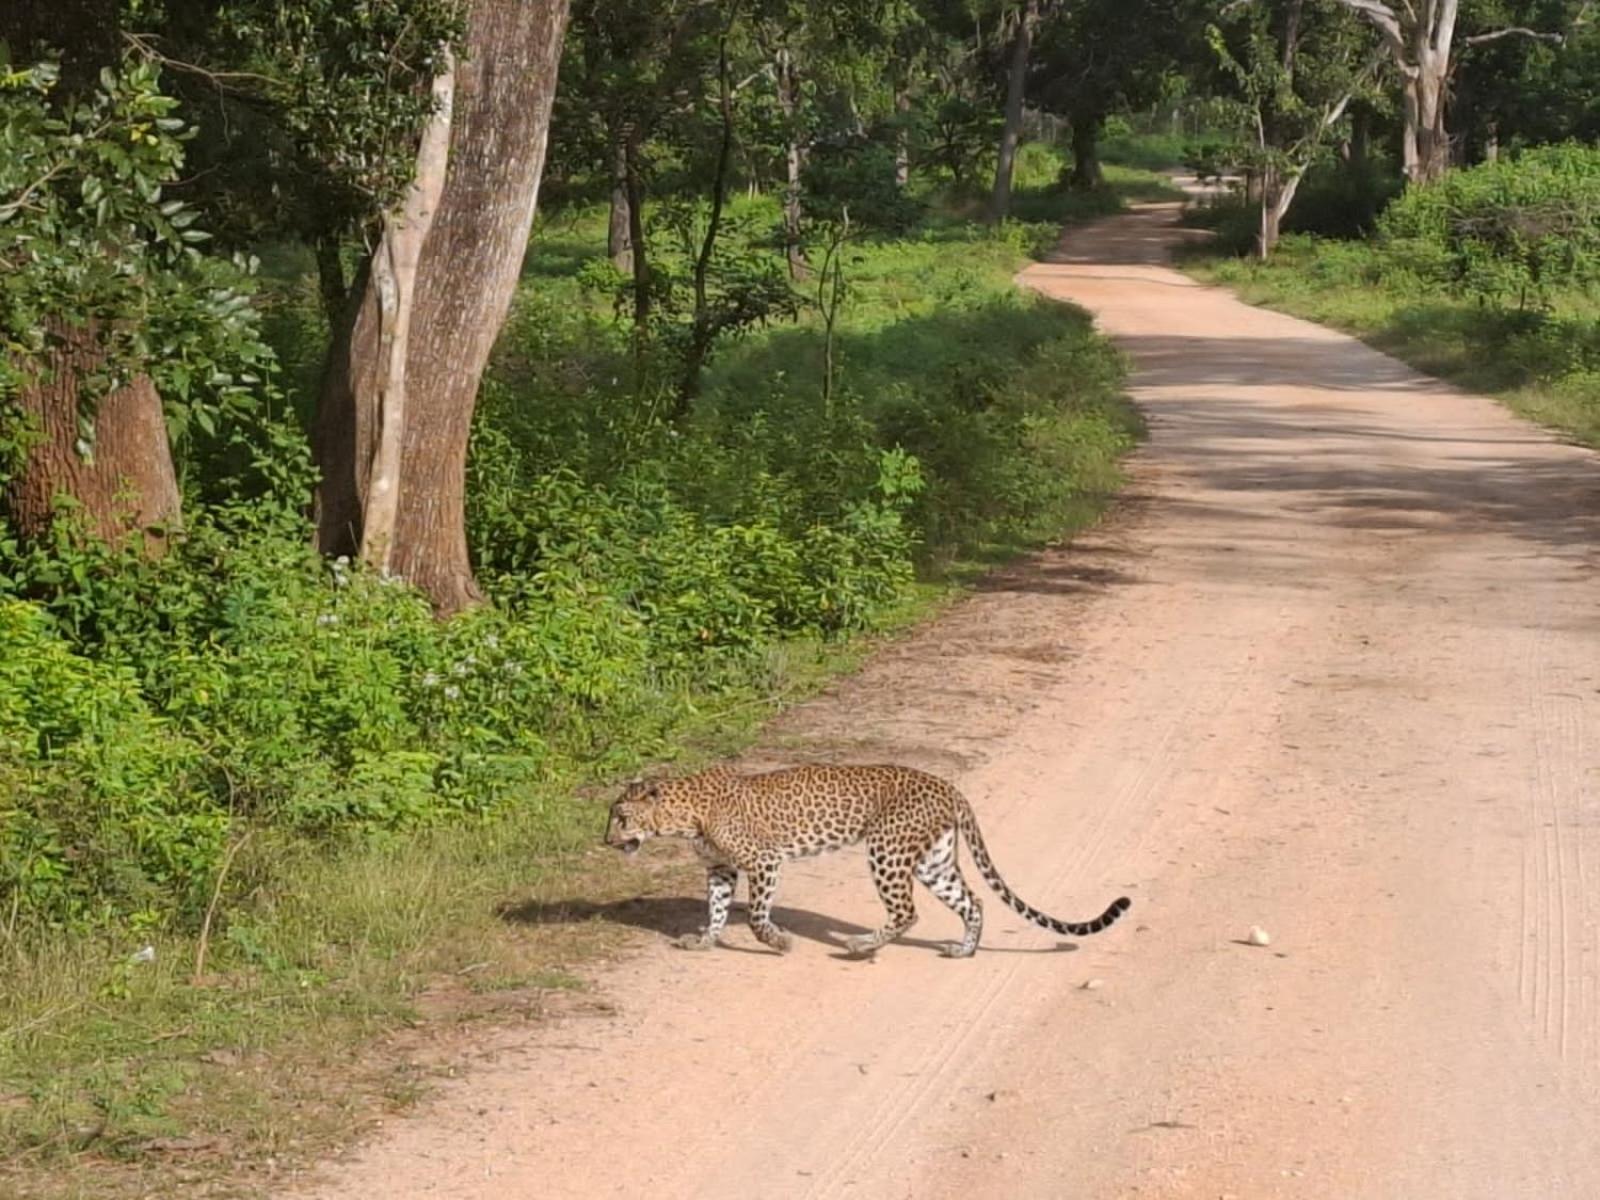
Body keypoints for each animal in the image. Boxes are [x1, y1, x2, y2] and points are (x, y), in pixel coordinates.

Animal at [604, 771, 1132, 960]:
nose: (606, 840)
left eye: (621, 817)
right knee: (974, 902)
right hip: (934, 861)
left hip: (886, 850)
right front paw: (704, 941)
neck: (683, 817)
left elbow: (754, 917)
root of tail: (949, 787)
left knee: (906, 912)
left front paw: (781, 942)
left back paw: (860, 946)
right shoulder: (720, 870)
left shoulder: (766, 861)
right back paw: (963, 950)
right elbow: (715, 911)